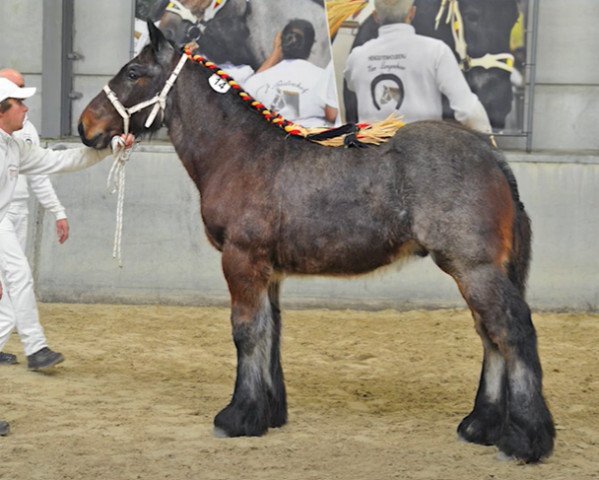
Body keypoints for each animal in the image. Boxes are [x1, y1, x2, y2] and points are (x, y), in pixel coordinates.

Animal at [79, 23, 556, 464]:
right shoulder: (267, 271)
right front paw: (267, 413)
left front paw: (237, 416)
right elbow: (270, 332)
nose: (85, 125)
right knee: (490, 336)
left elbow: (246, 332)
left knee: (510, 332)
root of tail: (491, 155)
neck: (241, 154)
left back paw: (523, 439)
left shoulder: (241, 261)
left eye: (133, 72)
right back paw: (479, 426)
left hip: (473, 268)